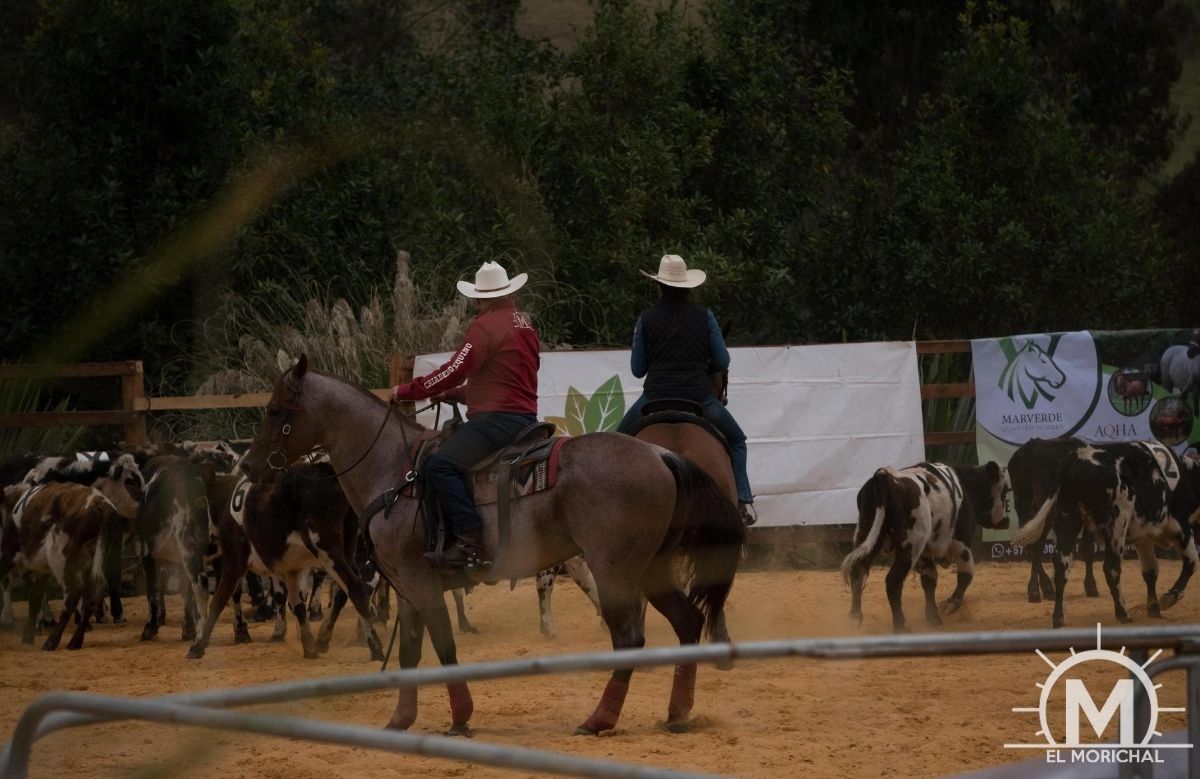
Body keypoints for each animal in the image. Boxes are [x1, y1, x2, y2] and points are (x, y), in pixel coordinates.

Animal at [238, 357, 744, 734]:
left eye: (276, 409)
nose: (247, 464)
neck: (393, 469)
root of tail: (660, 454)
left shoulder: (420, 582)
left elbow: (444, 648)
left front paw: (461, 718)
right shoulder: (406, 588)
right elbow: (409, 653)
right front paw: (401, 719)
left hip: (616, 570)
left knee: (629, 639)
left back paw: (600, 719)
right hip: (651, 568)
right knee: (687, 622)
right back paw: (677, 713)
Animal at [844, 460, 1012, 633]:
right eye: (1003, 492)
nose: (1006, 521)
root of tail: (883, 477)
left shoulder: (925, 552)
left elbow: (929, 580)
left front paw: (933, 617)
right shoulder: (961, 541)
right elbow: (966, 574)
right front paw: (951, 604)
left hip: (866, 535)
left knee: (858, 572)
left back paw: (855, 618)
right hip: (910, 546)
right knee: (893, 581)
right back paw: (900, 625)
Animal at [1012, 441, 1200, 628]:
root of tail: (1075, 460)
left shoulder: (1144, 538)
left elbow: (1150, 572)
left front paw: (1154, 609)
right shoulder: (1182, 528)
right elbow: (1191, 564)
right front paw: (1169, 598)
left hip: (1068, 519)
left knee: (1061, 565)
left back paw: (1058, 616)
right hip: (1117, 525)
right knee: (1111, 568)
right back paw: (1122, 613)